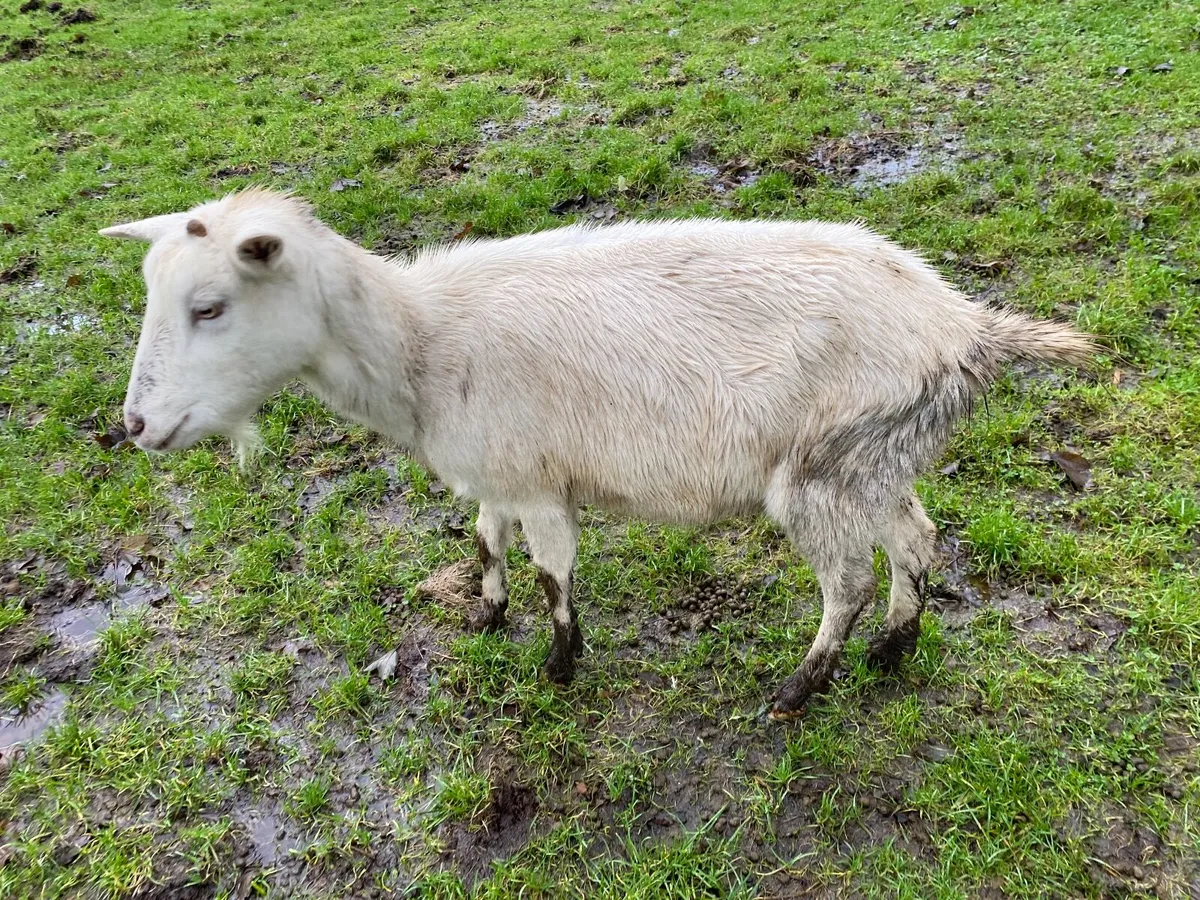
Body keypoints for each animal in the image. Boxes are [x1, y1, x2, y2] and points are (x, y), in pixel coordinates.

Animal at [100, 189, 1096, 720]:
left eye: (211, 307)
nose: (134, 428)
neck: (423, 344)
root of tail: (964, 326)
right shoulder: (498, 470)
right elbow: (483, 541)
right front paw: (485, 616)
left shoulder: (541, 483)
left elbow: (554, 574)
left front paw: (558, 667)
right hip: (878, 455)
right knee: (917, 541)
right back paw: (895, 647)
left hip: (820, 466)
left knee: (847, 580)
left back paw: (801, 687)